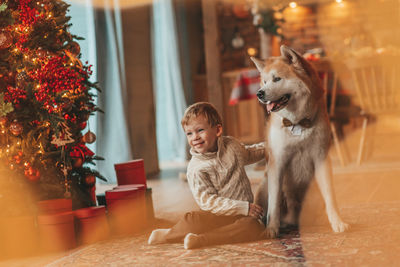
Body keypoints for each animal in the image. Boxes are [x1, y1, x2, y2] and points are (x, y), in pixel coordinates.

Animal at [252, 45, 348, 239]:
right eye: (264, 82)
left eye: (277, 79)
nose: (259, 93)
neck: (297, 123)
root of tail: (293, 219)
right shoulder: (277, 163)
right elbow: (274, 203)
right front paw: (271, 229)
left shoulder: (321, 158)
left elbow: (330, 196)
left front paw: (337, 222)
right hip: (264, 184)